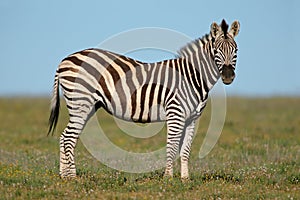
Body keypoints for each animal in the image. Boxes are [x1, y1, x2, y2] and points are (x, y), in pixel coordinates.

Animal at [48, 19, 240, 180]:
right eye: (216, 51)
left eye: (236, 50)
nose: (228, 76)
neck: (192, 78)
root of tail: (64, 60)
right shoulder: (175, 114)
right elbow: (171, 147)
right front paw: (168, 178)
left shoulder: (192, 118)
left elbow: (185, 150)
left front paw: (185, 179)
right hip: (81, 102)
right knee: (69, 138)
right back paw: (72, 177)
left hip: (88, 106)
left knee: (64, 137)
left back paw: (64, 176)